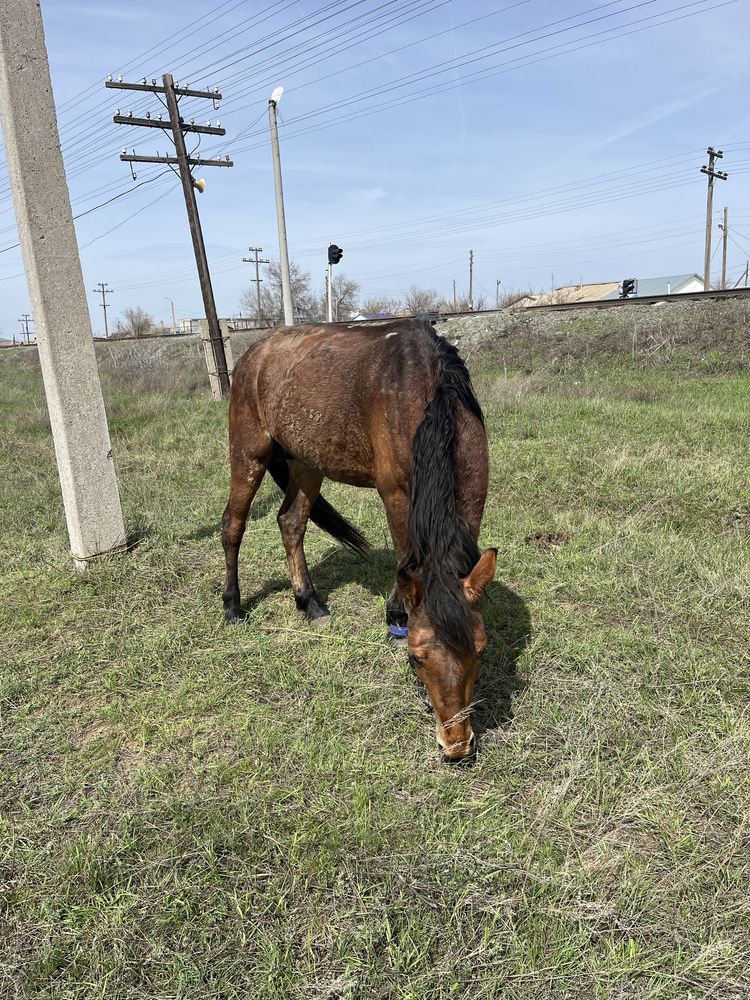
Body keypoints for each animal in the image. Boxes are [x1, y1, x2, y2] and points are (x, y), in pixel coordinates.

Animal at [220, 320, 496, 756]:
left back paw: (310, 602)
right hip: (249, 453)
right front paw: (396, 618)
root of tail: (253, 354)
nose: (456, 744)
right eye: (416, 659)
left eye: (480, 649)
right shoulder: (396, 495)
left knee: (291, 523)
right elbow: (406, 557)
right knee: (233, 523)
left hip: (306, 461)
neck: (430, 394)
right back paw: (232, 605)